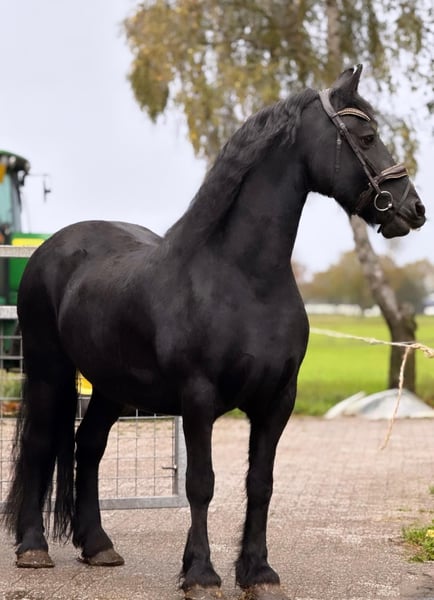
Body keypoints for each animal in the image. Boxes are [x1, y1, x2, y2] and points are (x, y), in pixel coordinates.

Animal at [2, 65, 426, 600]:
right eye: (366, 137)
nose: (413, 210)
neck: (244, 279)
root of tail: (49, 249)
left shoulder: (277, 400)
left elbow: (260, 484)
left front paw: (258, 572)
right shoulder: (199, 399)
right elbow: (200, 483)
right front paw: (202, 574)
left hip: (111, 387)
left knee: (89, 446)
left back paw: (98, 545)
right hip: (48, 371)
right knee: (40, 445)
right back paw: (33, 548)